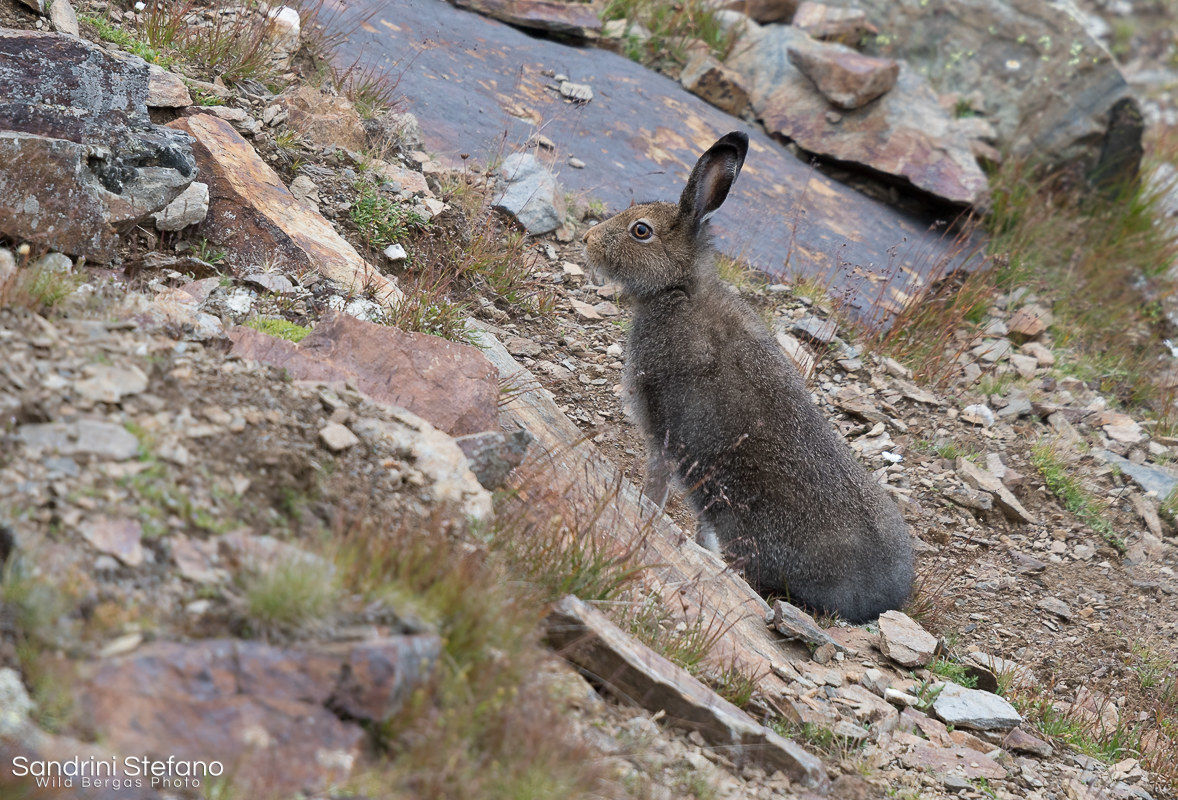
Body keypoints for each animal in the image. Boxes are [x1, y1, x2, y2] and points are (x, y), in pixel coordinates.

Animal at [581, 131, 913, 623]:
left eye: (640, 230)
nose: (586, 239)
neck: (679, 288)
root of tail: (884, 599)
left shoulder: (664, 430)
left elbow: (657, 483)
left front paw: (646, 511)